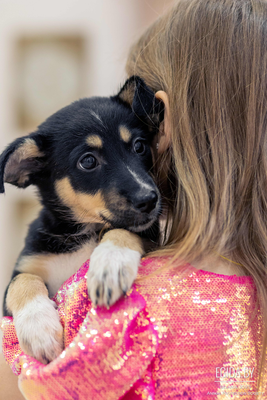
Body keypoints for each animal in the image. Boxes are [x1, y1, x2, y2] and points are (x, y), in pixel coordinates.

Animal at [0, 76, 163, 364]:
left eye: (139, 146)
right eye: (88, 161)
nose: (148, 199)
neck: (82, 232)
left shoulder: (149, 232)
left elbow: (124, 230)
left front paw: (110, 264)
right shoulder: (23, 270)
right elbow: (23, 282)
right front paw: (39, 329)